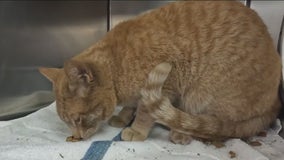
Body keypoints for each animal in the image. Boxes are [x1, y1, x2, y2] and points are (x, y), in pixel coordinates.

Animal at [38, 0, 280, 143]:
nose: (77, 136)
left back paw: (180, 133)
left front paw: (137, 130)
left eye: (78, 119)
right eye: (68, 122)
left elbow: (145, 113)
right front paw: (123, 117)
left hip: (198, 95)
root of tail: (271, 107)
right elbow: (131, 106)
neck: (117, 65)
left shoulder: (166, 86)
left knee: (210, 127)